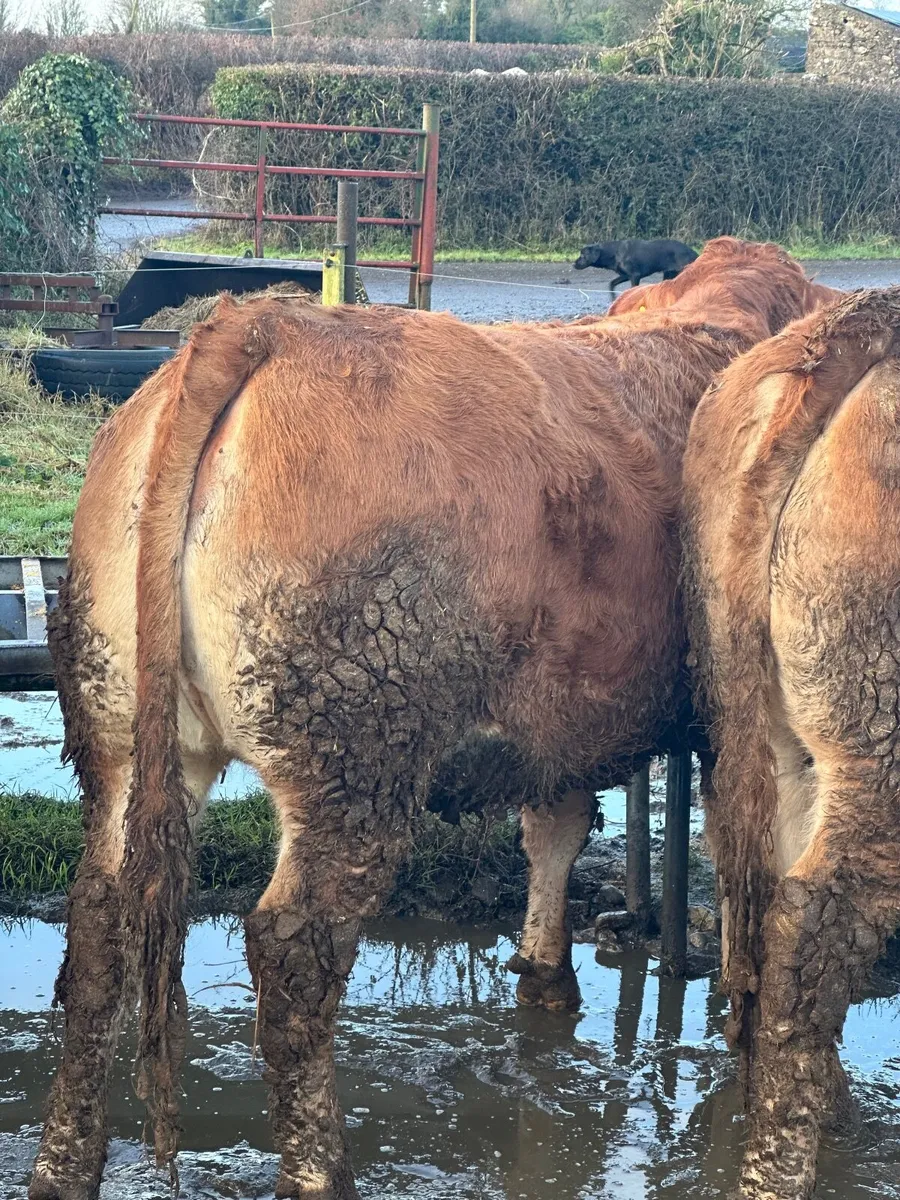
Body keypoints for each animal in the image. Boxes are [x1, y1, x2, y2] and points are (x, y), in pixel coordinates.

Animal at [30, 241, 829, 1200]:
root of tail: (260, 326)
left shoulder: (553, 716)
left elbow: (555, 828)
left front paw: (545, 973)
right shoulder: (728, 720)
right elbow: (744, 858)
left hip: (121, 738)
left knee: (100, 924)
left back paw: (62, 1165)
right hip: (356, 752)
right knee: (293, 951)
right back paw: (322, 1171)